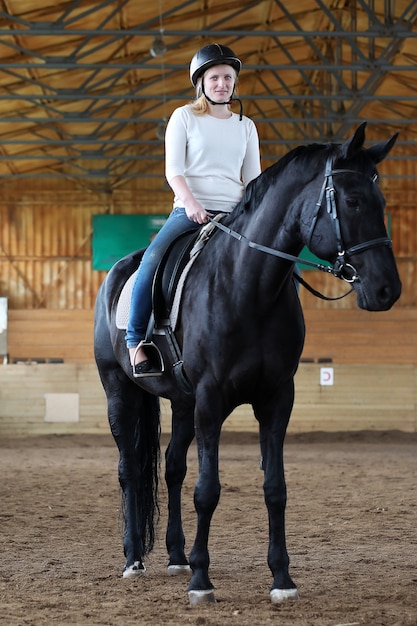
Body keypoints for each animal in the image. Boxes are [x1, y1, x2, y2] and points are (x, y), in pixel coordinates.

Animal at [93, 123, 400, 604]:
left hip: (181, 404)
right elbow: (208, 490)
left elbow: (275, 489)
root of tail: (118, 272)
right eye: (352, 202)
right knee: (129, 471)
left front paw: (282, 579)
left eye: (382, 204)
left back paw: (176, 557)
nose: (388, 289)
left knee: (173, 469)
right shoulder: (210, 400)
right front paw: (202, 581)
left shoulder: (275, 400)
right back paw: (134, 560)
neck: (248, 287)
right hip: (119, 392)